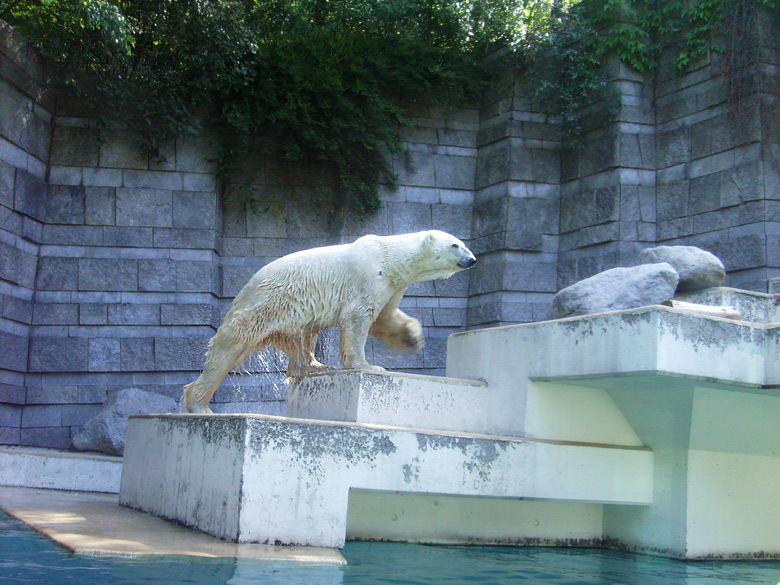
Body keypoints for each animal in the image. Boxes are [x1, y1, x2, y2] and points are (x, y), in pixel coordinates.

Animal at [181, 230, 476, 412]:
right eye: (455, 244)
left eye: (464, 243)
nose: (472, 259)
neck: (390, 256)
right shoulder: (368, 275)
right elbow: (359, 318)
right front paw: (369, 366)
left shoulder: (392, 285)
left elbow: (384, 319)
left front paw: (413, 338)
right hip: (260, 306)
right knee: (226, 349)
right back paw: (199, 405)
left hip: (289, 314)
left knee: (303, 339)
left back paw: (315, 366)